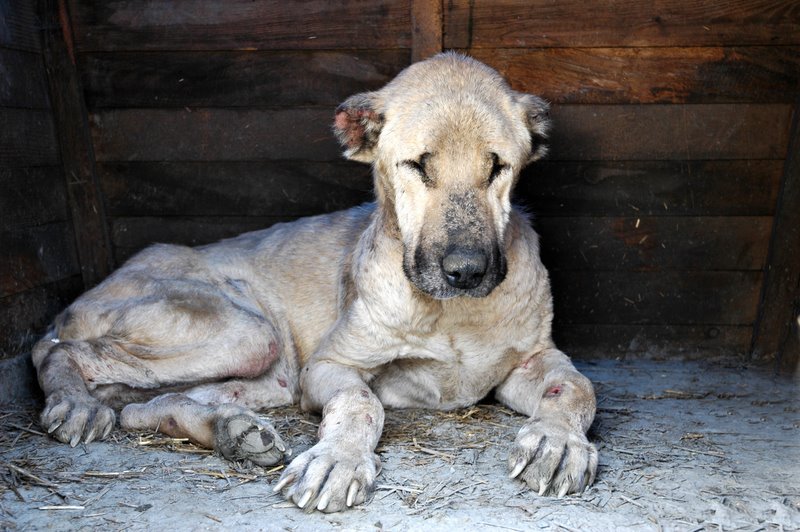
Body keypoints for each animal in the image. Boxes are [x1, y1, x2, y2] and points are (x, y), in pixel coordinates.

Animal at [32, 53, 592, 512]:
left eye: (498, 166)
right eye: (417, 165)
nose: (467, 271)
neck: (450, 315)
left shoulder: (532, 360)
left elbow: (576, 387)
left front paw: (559, 443)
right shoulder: (328, 366)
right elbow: (362, 402)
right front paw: (337, 460)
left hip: (263, 372)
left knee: (139, 406)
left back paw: (231, 431)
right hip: (245, 332)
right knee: (64, 354)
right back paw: (76, 403)